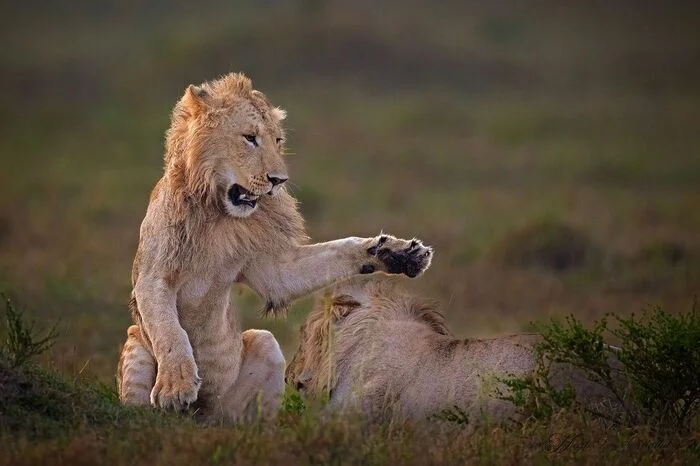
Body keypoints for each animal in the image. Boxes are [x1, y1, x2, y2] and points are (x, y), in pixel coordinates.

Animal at [115, 73, 432, 422]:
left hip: (264, 346)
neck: (217, 215)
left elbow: (336, 251)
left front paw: (398, 253)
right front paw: (176, 386)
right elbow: (170, 331)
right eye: (250, 138)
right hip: (135, 344)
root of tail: (200, 417)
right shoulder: (153, 276)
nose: (278, 180)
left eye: (277, 141)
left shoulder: (269, 269)